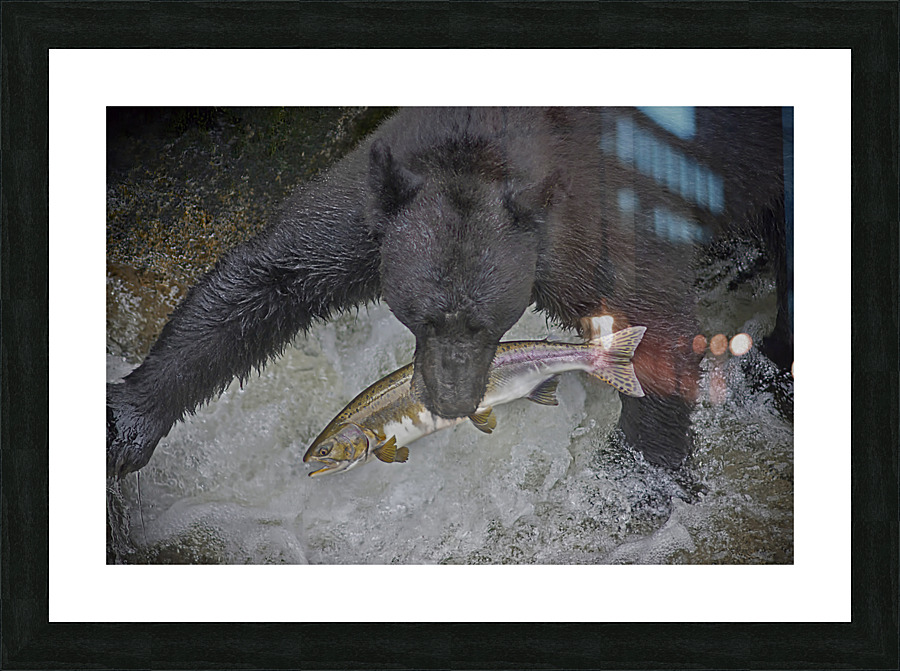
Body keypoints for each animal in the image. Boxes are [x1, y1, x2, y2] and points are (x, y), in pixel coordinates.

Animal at [107, 107, 789, 477]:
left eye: (488, 323)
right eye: (420, 317)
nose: (451, 401)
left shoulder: (602, 215)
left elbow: (651, 322)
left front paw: (638, 474)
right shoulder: (378, 206)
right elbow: (272, 277)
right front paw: (127, 424)